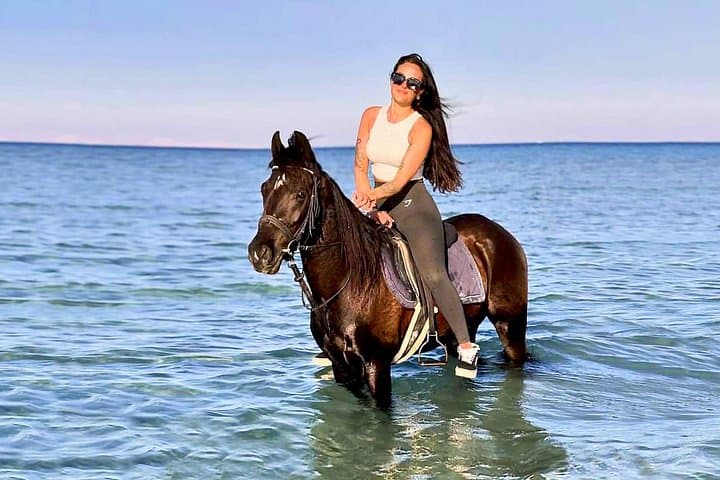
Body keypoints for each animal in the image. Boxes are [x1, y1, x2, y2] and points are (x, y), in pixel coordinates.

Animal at [248, 131, 528, 408]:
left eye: (300, 194)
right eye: (263, 189)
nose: (259, 253)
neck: (350, 283)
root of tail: (498, 231)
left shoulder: (377, 365)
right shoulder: (342, 368)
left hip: (510, 325)